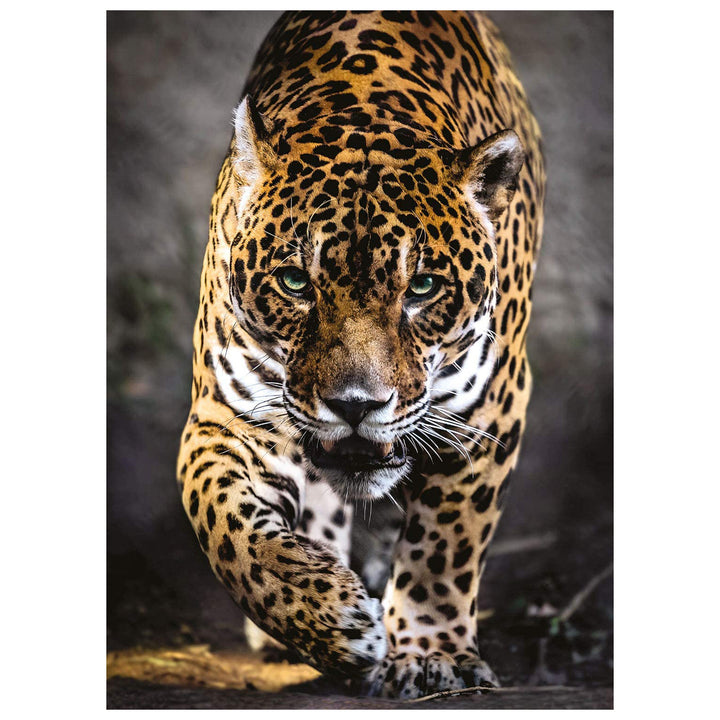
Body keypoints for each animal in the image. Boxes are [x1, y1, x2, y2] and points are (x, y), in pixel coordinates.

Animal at [177, 10, 544, 699]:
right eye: (296, 282)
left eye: (422, 287)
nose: (355, 405)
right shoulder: (226, 415)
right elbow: (226, 526)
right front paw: (329, 619)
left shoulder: (488, 412)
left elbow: (445, 544)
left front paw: (431, 655)